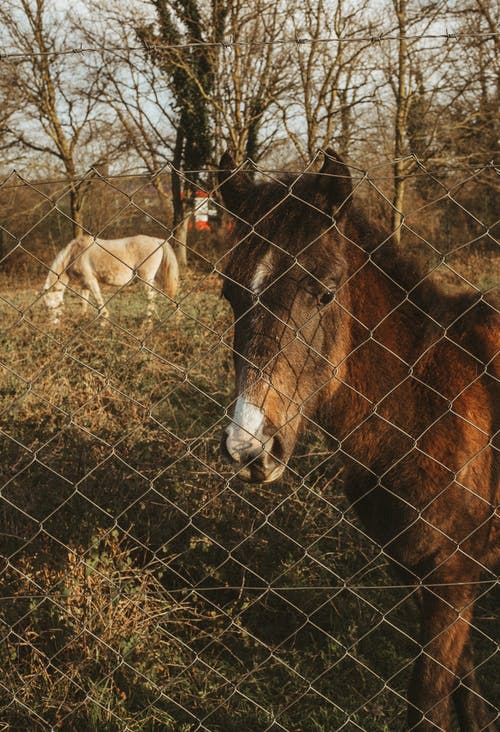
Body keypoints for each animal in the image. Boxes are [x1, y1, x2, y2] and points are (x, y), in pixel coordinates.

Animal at [43, 234, 180, 324]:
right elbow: (84, 301)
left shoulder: (91, 280)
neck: (74, 254)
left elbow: (98, 299)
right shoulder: (84, 284)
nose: (53, 325)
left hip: (146, 278)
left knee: (151, 297)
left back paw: (147, 322)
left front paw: (104, 320)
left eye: (49, 307)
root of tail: (157, 240)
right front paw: (83, 318)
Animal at [219, 150, 500, 732]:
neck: (427, 408)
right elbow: (466, 692)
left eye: (325, 291)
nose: (248, 447)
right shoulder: (423, 577)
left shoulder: (453, 577)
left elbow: (429, 701)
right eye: (230, 294)